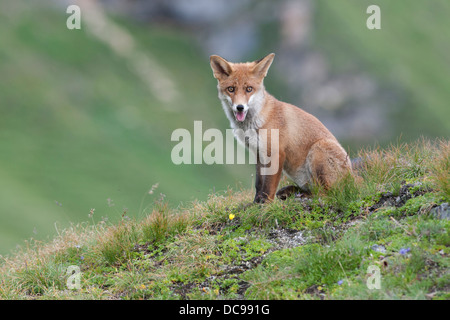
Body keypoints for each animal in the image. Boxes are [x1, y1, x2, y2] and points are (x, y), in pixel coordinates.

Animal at [209, 52, 354, 202]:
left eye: (249, 89)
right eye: (231, 89)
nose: (240, 107)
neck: (255, 123)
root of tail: (353, 181)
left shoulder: (275, 152)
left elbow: (268, 186)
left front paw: (265, 204)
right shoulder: (258, 153)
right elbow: (259, 184)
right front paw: (255, 203)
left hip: (319, 149)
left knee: (328, 194)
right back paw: (293, 192)